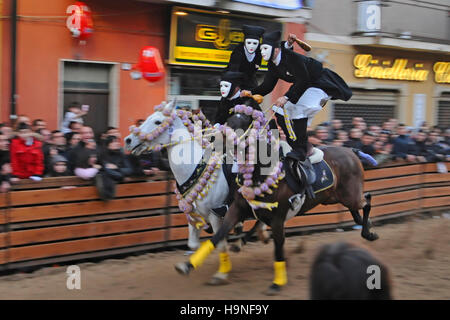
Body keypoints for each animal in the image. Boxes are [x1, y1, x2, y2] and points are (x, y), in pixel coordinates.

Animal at [123, 100, 236, 284]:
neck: (195, 166)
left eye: (158, 121)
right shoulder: (192, 215)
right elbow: (194, 244)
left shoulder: (216, 216)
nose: (128, 140)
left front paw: (221, 273)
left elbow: (219, 243)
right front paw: (188, 264)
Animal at [174, 112, 378, 296]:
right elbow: (218, 236)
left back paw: (368, 232)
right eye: (229, 119)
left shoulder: (278, 217)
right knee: (357, 209)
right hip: (335, 197)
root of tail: (351, 151)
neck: (262, 172)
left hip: (349, 194)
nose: (214, 138)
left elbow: (278, 246)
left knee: (367, 199)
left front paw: (277, 282)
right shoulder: (237, 208)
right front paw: (188, 265)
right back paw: (365, 226)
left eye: (242, 123)